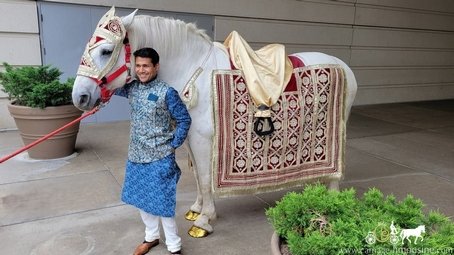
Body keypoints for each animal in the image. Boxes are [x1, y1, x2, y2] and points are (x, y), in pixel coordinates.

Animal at [72, 7, 358, 237]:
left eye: (106, 50)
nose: (80, 96)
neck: (192, 72)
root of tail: (345, 67)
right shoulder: (190, 138)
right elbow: (199, 177)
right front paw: (197, 209)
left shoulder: (202, 140)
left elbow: (205, 177)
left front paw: (204, 220)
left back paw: (330, 200)